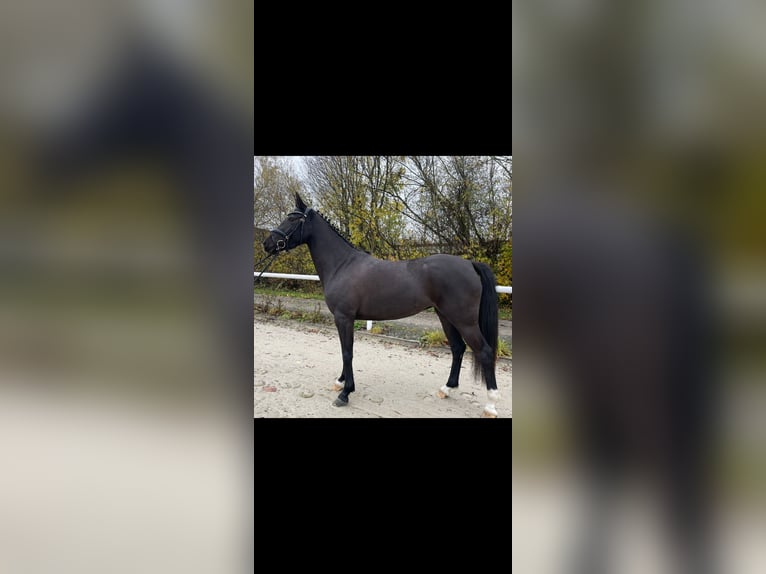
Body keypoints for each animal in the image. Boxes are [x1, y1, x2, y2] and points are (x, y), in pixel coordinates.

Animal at [262, 193, 503, 417]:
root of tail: (470, 264)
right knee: (458, 348)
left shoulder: (344, 317)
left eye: (293, 219)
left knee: (485, 352)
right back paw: (446, 389)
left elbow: (347, 352)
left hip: (464, 321)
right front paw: (340, 382)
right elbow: (345, 351)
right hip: (445, 316)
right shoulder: (344, 320)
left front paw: (345, 393)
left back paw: (491, 405)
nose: (267, 244)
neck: (342, 265)